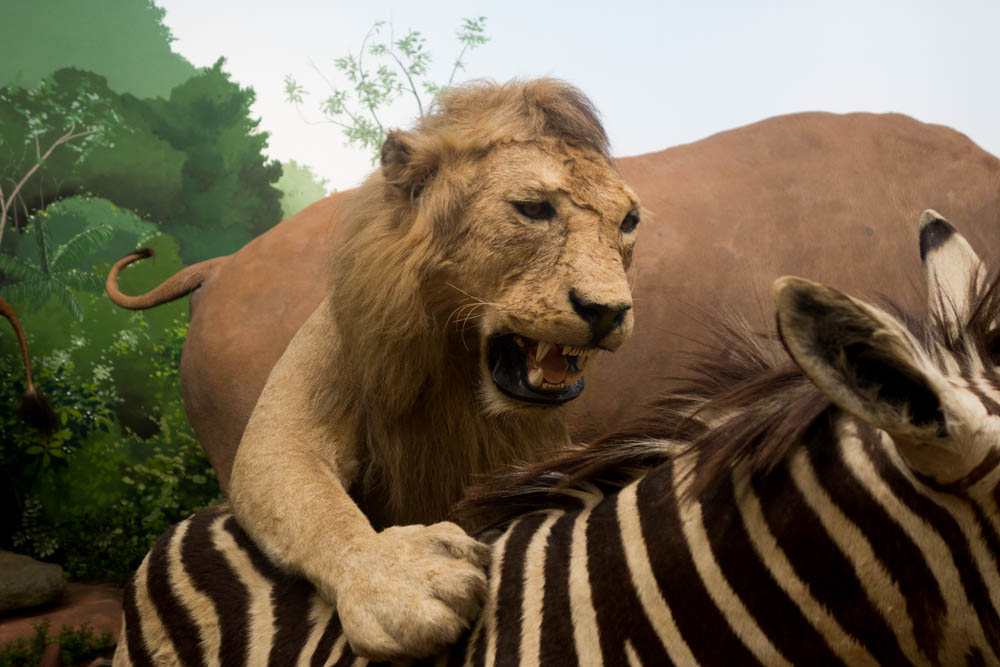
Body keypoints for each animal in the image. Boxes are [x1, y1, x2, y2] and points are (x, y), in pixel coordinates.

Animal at [107, 79, 640, 664]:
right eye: (533, 209)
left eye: (628, 222)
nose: (610, 311)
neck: (460, 372)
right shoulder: (312, 385)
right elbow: (309, 494)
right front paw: (400, 583)